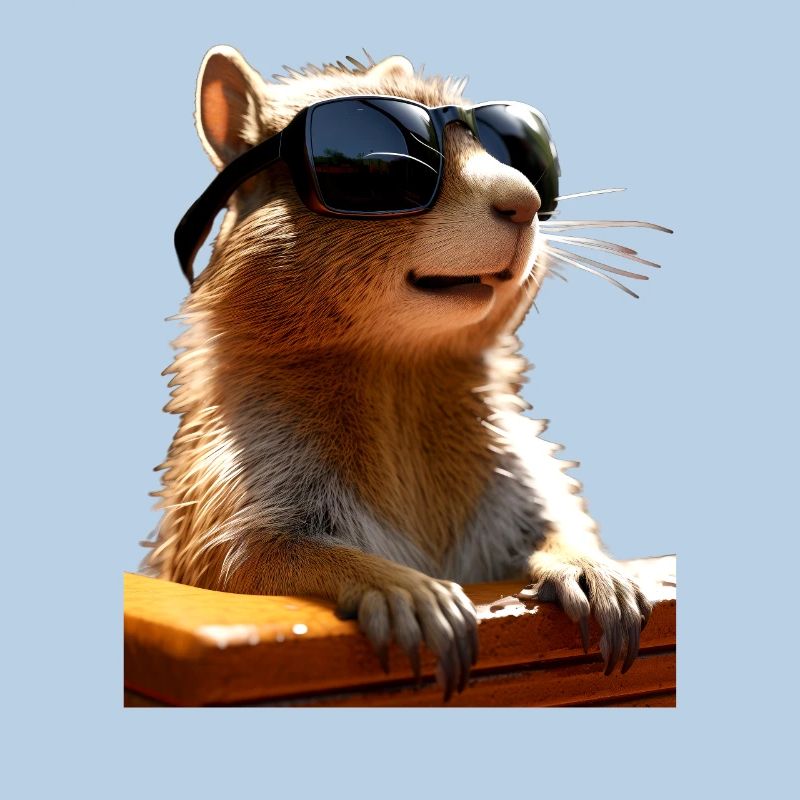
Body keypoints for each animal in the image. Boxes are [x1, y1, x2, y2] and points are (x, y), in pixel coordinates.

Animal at [143, 45, 659, 700]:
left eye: (521, 152)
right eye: (379, 166)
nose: (525, 201)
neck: (400, 370)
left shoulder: (521, 476)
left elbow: (554, 521)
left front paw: (594, 568)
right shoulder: (234, 480)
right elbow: (249, 558)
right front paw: (406, 589)